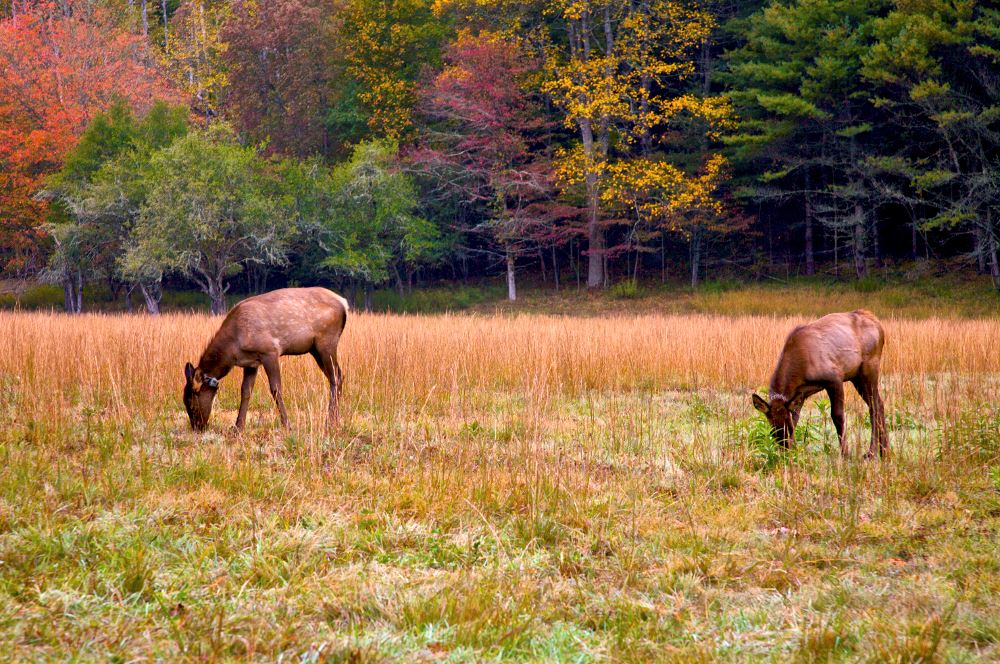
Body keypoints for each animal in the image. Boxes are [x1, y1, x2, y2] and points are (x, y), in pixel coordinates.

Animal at [182, 288, 350, 434]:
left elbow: (275, 389)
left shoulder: (270, 351)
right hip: (315, 349)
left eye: (191, 402)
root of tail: (344, 303)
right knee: (338, 376)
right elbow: (245, 391)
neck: (233, 348)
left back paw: (329, 422)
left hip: (326, 342)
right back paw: (335, 421)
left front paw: (287, 425)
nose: (197, 427)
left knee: (336, 377)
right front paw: (238, 427)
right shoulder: (250, 363)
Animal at [752, 310, 892, 456]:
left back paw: (871, 453)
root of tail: (879, 325)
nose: (784, 449)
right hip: (856, 377)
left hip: (870, 368)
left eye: (788, 426)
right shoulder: (801, 394)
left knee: (874, 406)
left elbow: (837, 416)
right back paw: (885, 451)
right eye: (772, 429)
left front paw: (845, 454)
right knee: (879, 403)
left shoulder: (835, 378)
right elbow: (796, 418)